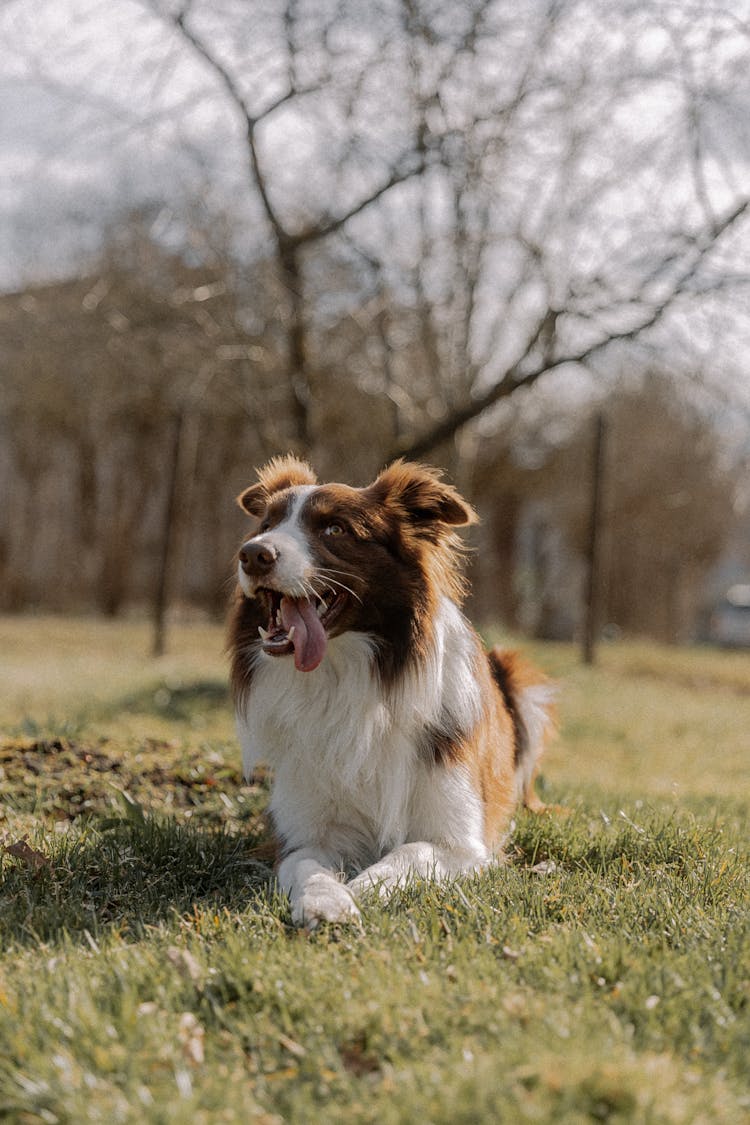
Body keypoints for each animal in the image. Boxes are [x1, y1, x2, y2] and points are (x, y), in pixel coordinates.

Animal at [229, 452, 557, 927]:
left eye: (334, 529)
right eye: (265, 525)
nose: (253, 554)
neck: (350, 682)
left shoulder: (461, 845)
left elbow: (408, 854)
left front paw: (360, 888)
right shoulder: (301, 837)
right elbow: (308, 866)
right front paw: (326, 900)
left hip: (521, 683)